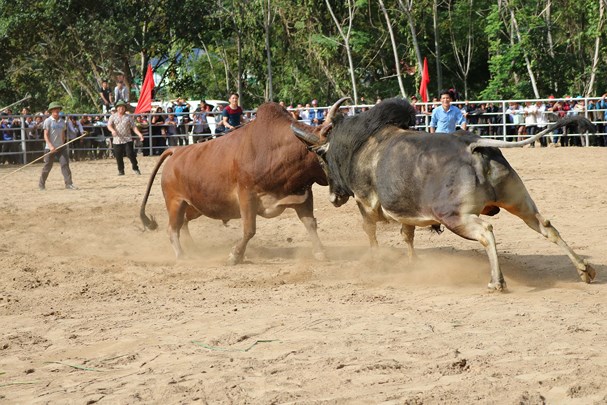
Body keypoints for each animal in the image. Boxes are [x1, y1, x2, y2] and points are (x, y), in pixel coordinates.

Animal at [139, 101, 342, 266]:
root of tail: (175, 151)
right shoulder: (246, 195)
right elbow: (249, 230)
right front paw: (235, 256)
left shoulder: (302, 194)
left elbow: (310, 223)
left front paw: (321, 252)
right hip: (175, 202)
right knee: (172, 229)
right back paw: (182, 255)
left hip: (193, 205)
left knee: (184, 223)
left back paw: (193, 248)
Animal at [294, 98, 600, 290]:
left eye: (322, 159)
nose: (333, 198)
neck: (362, 146)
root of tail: (473, 144)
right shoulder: (405, 211)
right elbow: (407, 235)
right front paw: (412, 263)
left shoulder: (365, 202)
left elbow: (370, 231)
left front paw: (376, 262)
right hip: (518, 200)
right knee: (546, 226)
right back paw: (584, 270)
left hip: (455, 216)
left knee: (487, 232)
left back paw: (496, 282)